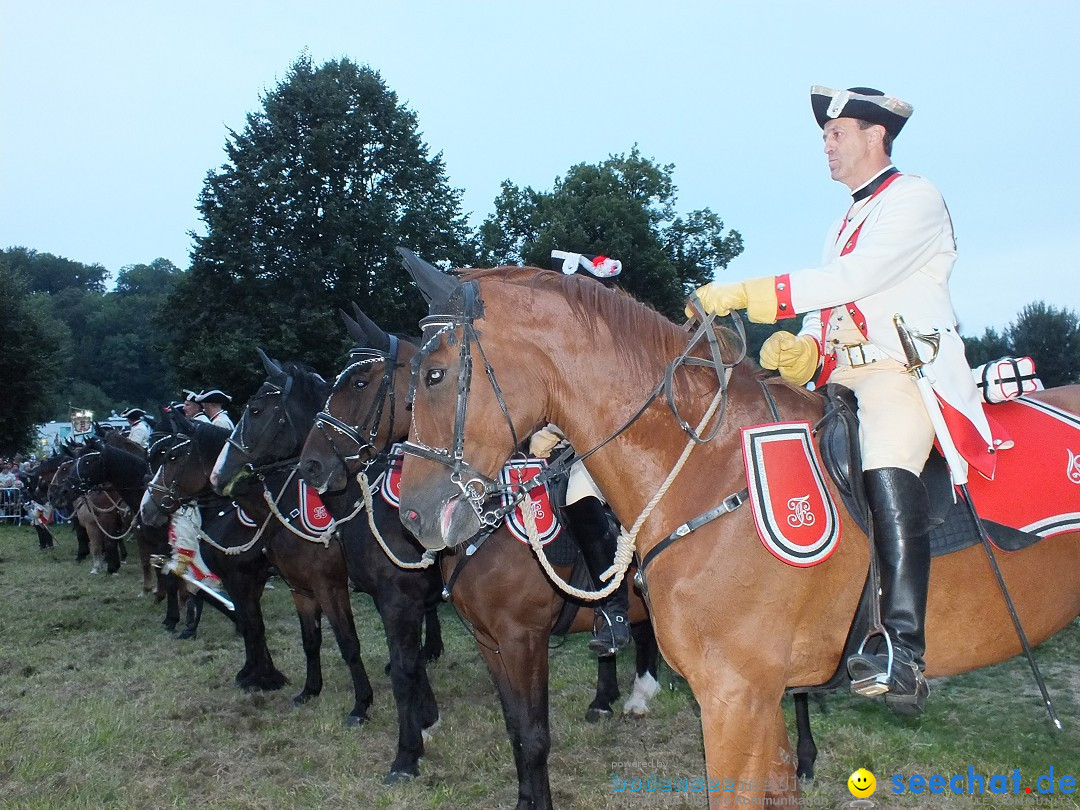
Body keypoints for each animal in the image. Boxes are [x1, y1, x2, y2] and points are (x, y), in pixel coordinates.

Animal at [300, 306, 660, 807]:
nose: (309, 465)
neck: (489, 524)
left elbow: (534, 733)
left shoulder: (522, 640)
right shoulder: (489, 641)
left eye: (358, 381)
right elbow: (516, 729)